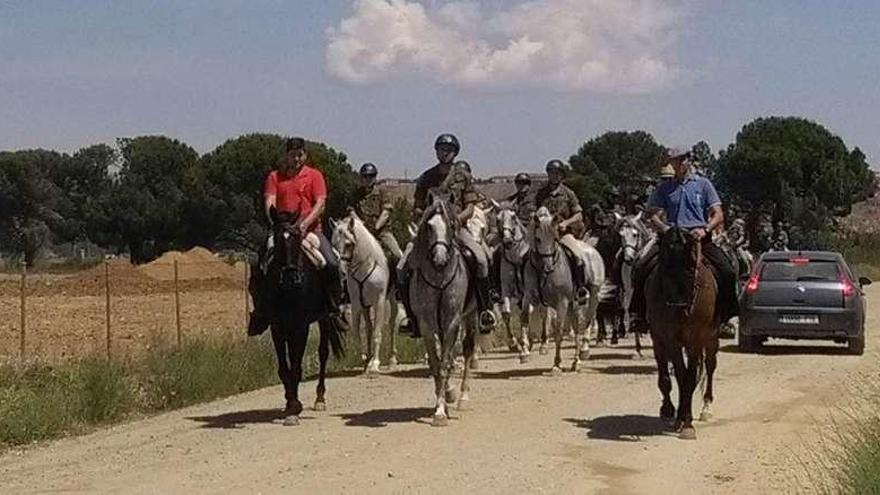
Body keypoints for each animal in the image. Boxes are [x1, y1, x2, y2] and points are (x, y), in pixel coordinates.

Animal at [262, 210, 346, 426]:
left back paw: (320, 399)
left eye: (297, 238)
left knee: (323, 353)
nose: (291, 276)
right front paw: (289, 402)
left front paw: (295, 408)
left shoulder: (300, 326)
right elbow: (284, 368)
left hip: (324, 318)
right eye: (277, 239)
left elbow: (297, 366)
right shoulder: (277, 326)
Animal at [332, 211, 398, 378]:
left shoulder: (379, 302)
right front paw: (365, 360)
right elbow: (357, 332)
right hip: (365, 306)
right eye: (334, 244)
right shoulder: (356, 305)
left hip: (391, 299)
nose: (341, 272)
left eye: (349, 243)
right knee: (368, 327)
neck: (366, 265)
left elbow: (377, 334)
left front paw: (374, 364)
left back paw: (392, 360)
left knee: (391, 324)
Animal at [644, 227, 720, 440]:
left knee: (710, 366)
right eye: (664, 271)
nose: (678, 309)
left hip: (711, 338)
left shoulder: (695, 339)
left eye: (690, 271)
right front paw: (675, 415)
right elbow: (677, 376)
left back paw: (706, 408)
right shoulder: (669, 339)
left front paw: (687, 422)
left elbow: (689, 377)